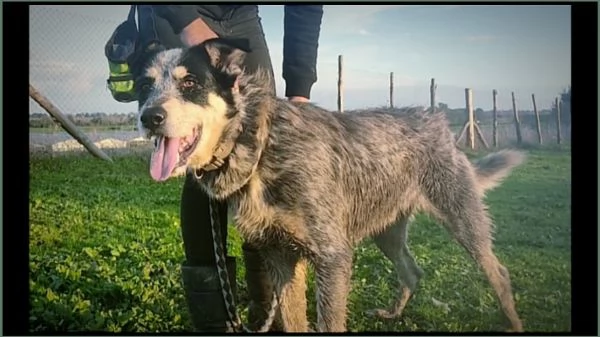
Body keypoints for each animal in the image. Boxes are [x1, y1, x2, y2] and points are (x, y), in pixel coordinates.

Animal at [137, 38, 524, 330]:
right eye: (145, 86)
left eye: (190, 83)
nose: (148, 117)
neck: (261, 144)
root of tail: (437, 121)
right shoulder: (279, 257)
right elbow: (293, 321)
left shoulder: (332, 257)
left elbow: (328, 322)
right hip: (386, 232)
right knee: (413, 271)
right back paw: (393, 313)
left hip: (464, 223)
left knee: (500, 272)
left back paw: (512, 322)